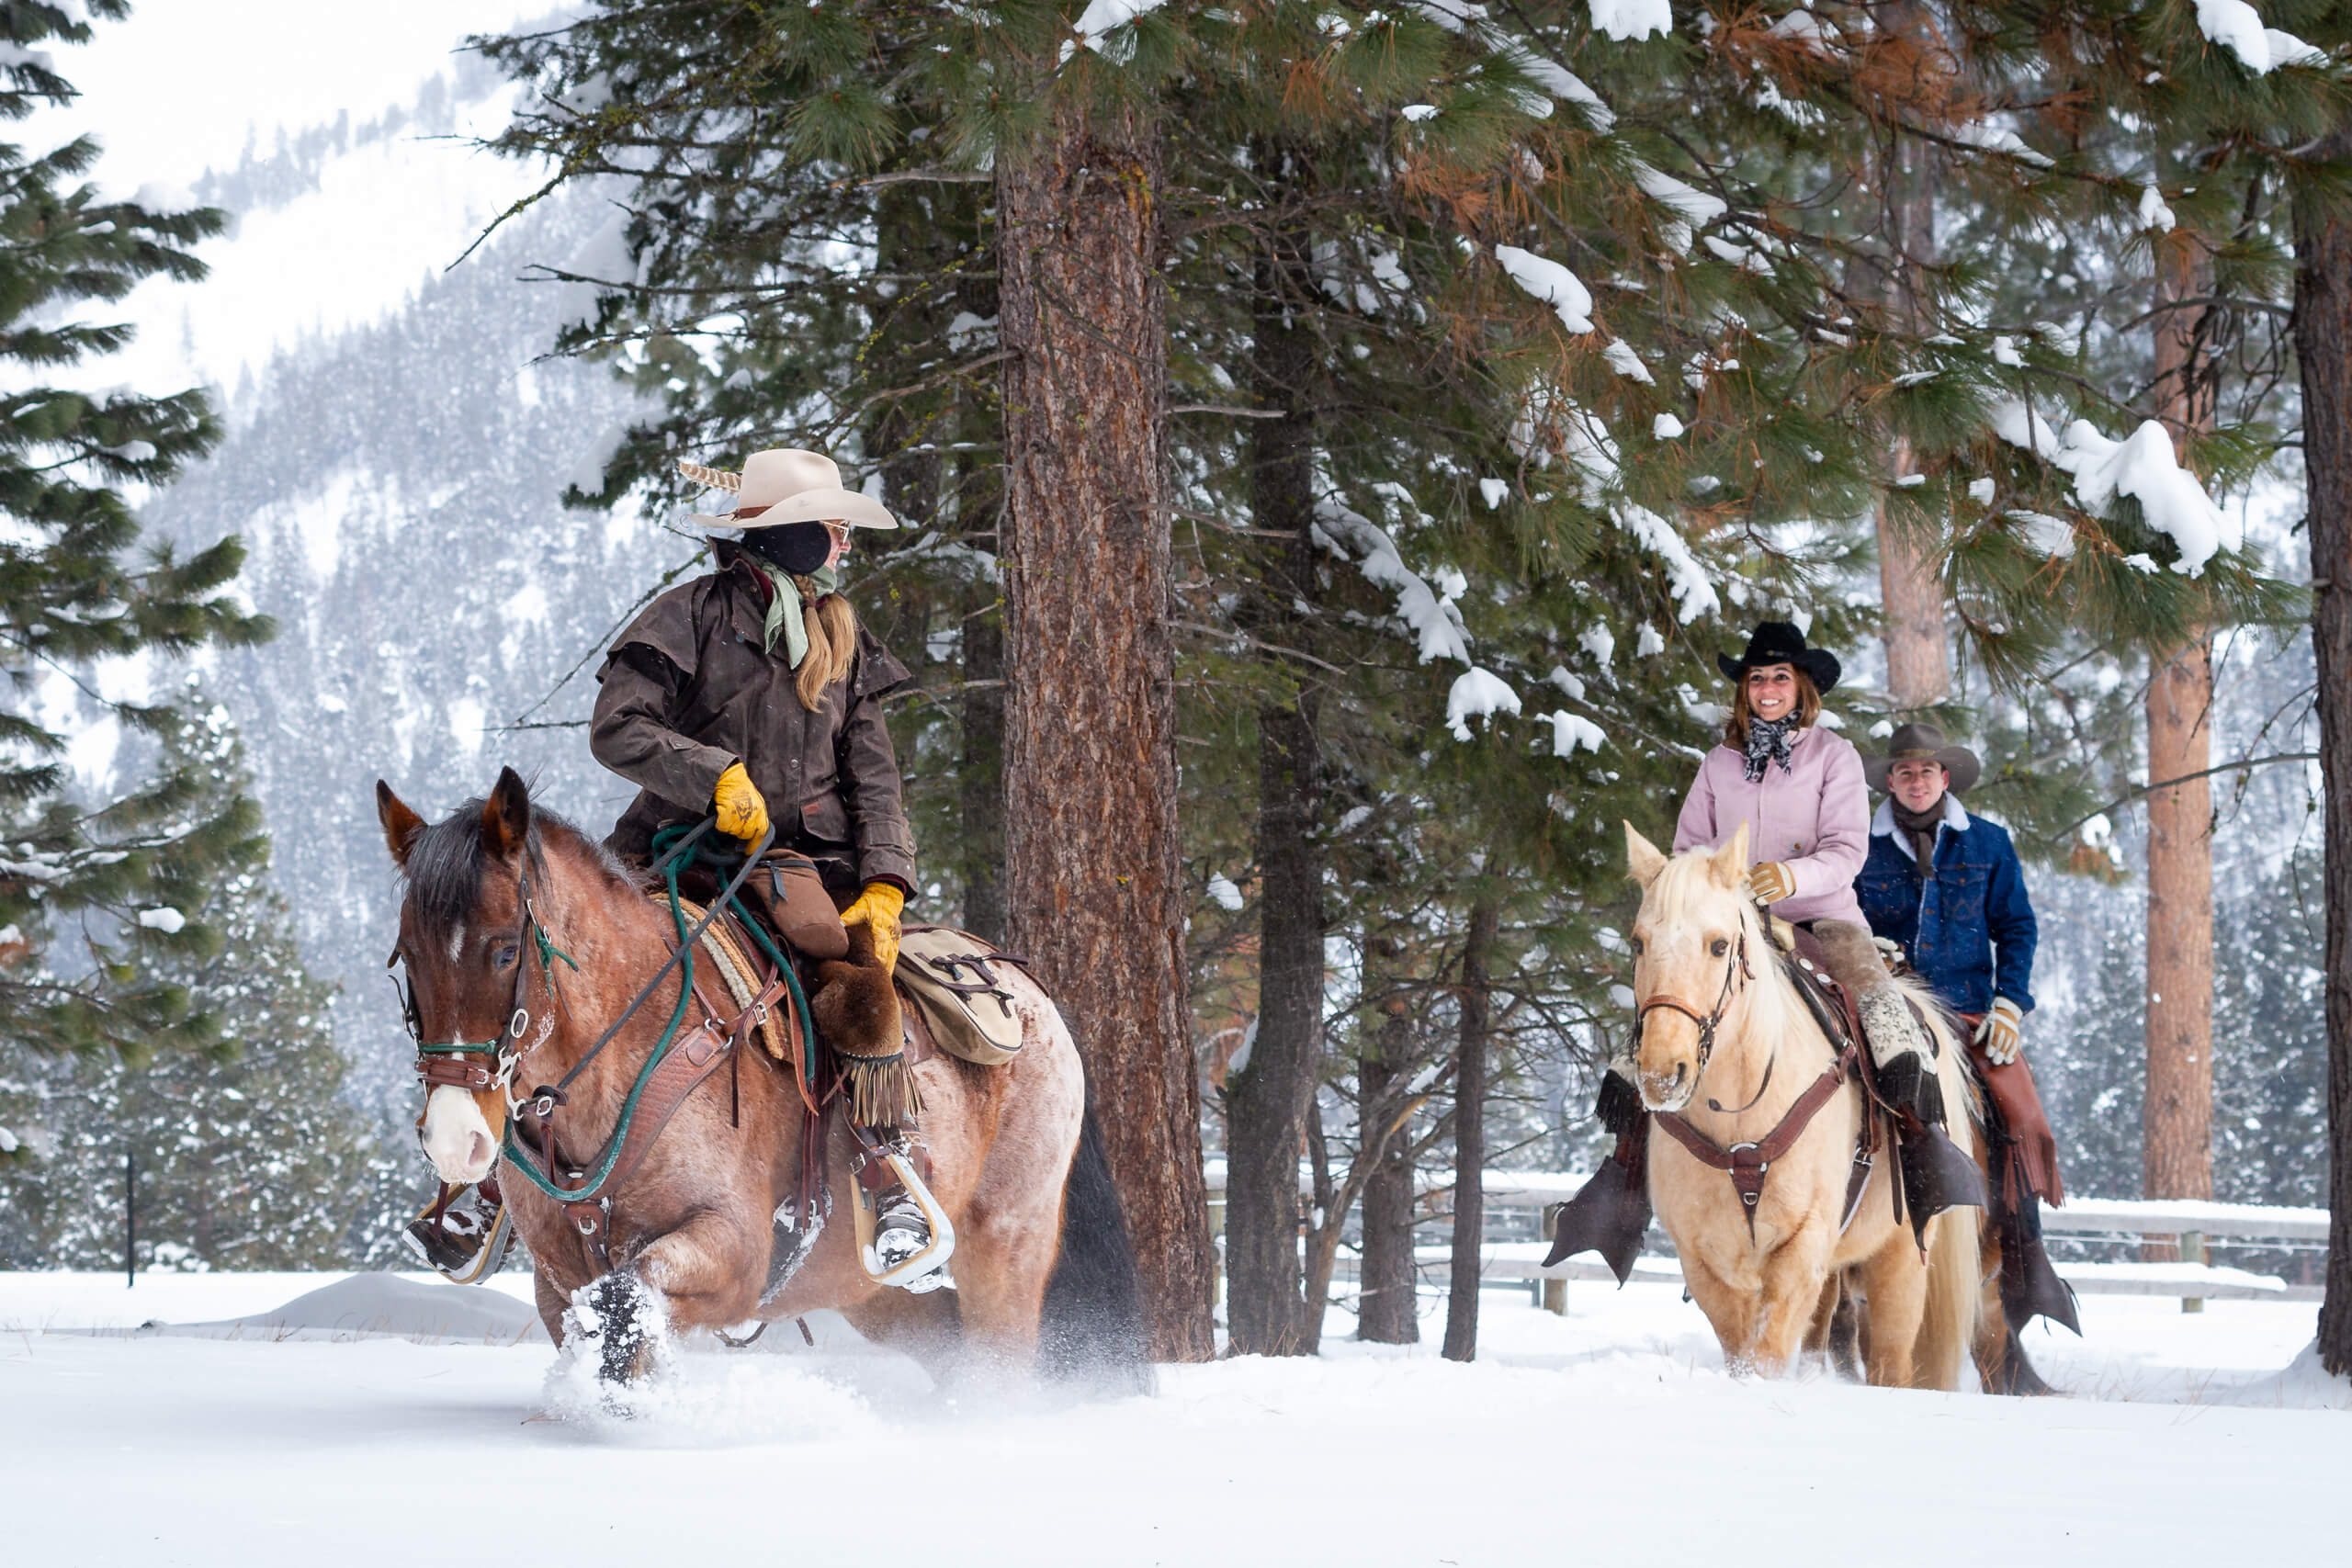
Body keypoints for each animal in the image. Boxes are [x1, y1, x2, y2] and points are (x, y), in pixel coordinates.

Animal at [374, 766, 1148, 1392]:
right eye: (406, 954)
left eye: (506, 950)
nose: (456, 1137)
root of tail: (1027, 987)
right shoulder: (557, 1282)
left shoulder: (732, 1251)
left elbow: (631, 1298)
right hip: (875, 1293)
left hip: (1008, 1244)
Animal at [1618, 822, 1984, 1382]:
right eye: (1639, 943)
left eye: (1718, 945)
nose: (1662, 1072)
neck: (1740, 1116)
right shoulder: (1704, 1259)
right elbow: (1741, 1351)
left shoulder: (1801, 1247)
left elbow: (1767, 1355)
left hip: (1899, 1259)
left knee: (1892, 1360)